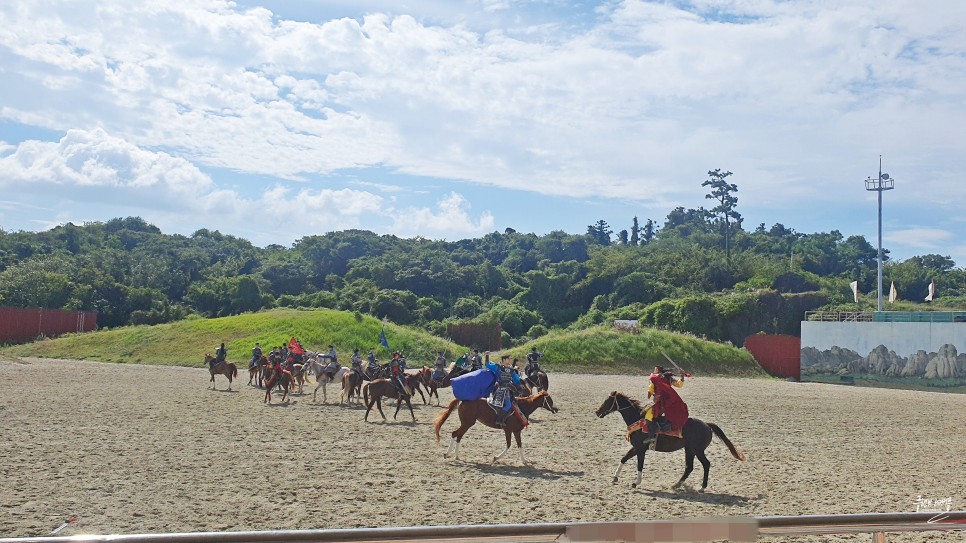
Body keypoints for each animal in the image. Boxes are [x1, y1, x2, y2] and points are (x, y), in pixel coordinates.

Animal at [432, 392, 560, 464]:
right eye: (549, 400)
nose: (556, 409)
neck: (522, 407)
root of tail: (464, 399)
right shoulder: (511, 430)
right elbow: (510, 445)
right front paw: (496, 458)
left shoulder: (514, 431)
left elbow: (518, 445)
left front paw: (524, 461)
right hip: (467, 423)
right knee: (455, 434)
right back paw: (449, 454)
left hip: (466, 424)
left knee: (458, 435)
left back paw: (456, 456)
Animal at [592, 392, 744, 492]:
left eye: (608, 401)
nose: (597, 412)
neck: (638, 420)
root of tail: (707, 425)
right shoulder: (636, 448)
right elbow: (623, 458)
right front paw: (615, 478)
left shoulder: (641, 449)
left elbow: (639, 465)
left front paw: (636, 483)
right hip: (689, 450)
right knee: (689, 467)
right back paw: (676, 485)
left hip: (698, 450)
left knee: (706, 464)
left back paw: (702, 487)